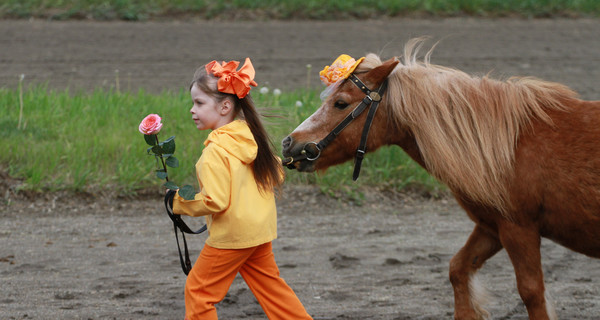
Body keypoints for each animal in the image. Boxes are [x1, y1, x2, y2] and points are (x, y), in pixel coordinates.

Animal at [282, 38, 600, 320]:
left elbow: (532, 293)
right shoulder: (491, 227)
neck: (508, 146)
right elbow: (458, 269)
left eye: (340, 103)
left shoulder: (519, 230)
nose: (289, 143)